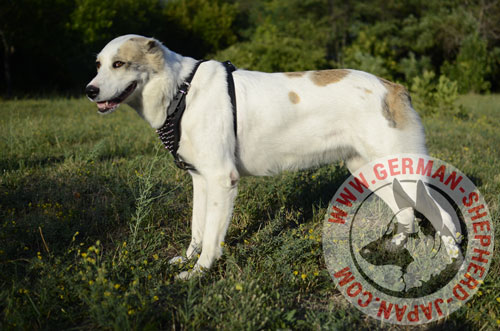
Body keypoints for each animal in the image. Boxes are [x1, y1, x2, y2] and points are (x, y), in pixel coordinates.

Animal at [87, 35, 460, 278]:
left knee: (442, 215)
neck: (182, 90)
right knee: (407, 214)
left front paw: (199, 273)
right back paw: (394, 251)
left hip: (400, 170)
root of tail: (394, 87)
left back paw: (453, 265)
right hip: (372, 169)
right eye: (99, 65)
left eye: (119, 64)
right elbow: (197, 229)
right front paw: (187, 260)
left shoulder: (222, 180)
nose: (90, 90)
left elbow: (211, 238)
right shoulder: (201, 180)